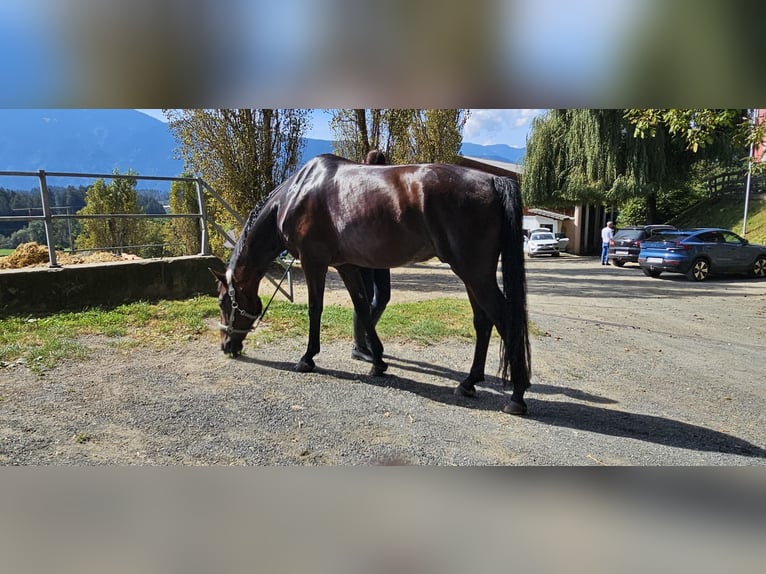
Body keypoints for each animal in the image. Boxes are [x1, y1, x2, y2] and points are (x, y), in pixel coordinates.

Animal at [211, 154, 532, 415]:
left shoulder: (314, 263)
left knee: (504, 319)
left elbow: (315, 309)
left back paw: (517, 396)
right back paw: (468, 382)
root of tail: (493, 180)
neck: (297, 194)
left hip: (474, 272)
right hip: (473, 275)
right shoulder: (346, 265)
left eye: (223, 301)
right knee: (483, 321)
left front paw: (307, 358)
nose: (226, 345)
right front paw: (377, 361)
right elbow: (363, 308)